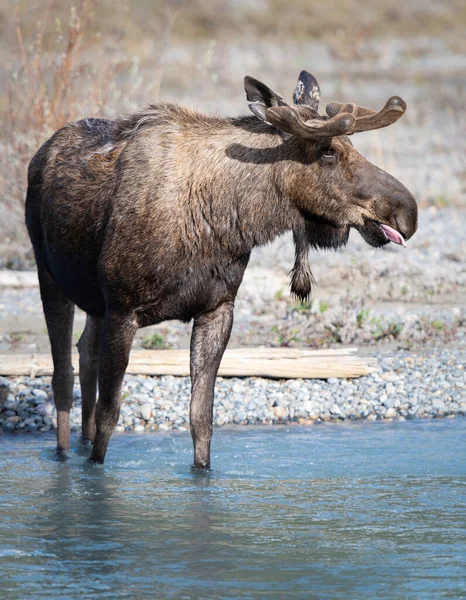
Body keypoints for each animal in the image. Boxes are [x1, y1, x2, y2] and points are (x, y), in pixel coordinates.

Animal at [25, 69, 418, 468]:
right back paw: (62, 453)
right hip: (50, 275)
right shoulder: (123, 310)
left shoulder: (217, 309)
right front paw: (93, 473)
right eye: (328, 151)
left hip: (94, 303)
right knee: (62, 375)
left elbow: (201, 419)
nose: (407, 211)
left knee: (84, 353)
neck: (227, 214)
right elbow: (110, 418)